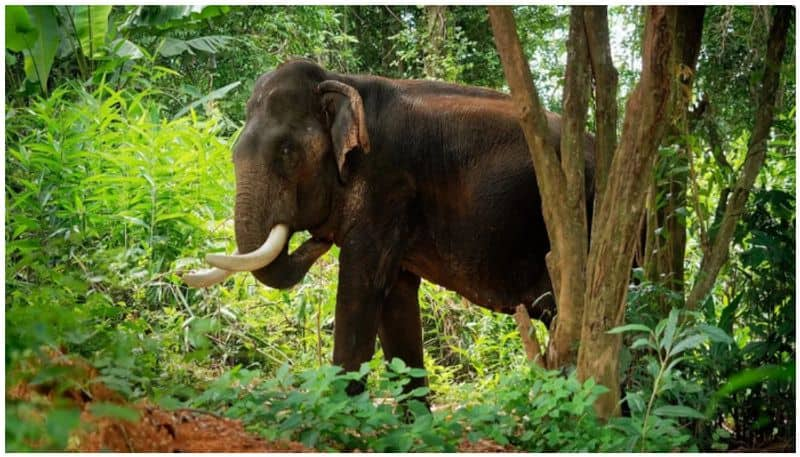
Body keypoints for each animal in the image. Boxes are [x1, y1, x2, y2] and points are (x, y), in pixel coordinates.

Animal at [183, 59, 592, 396]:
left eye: (287, 153)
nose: (318, 239)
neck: (343, 81)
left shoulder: (388, 186)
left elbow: (361, 288)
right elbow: (396, 298)